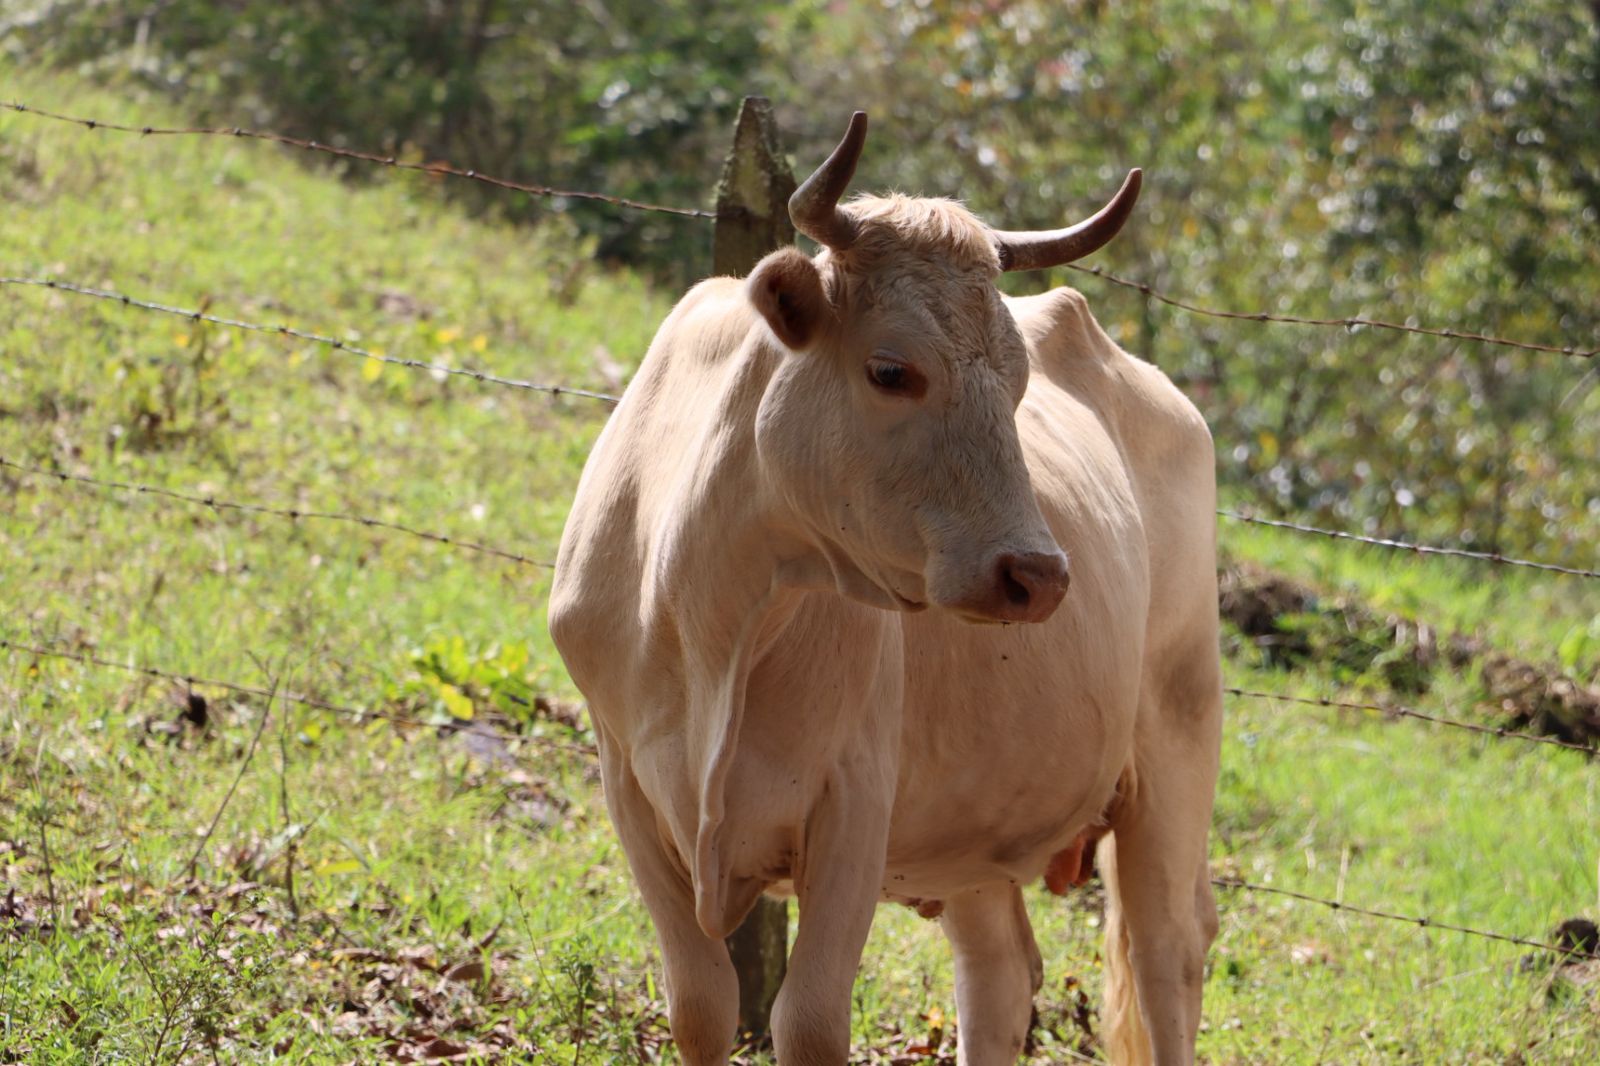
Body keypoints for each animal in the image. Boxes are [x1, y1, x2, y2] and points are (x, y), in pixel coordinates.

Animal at [549, 112, 1222, 1066]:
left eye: (1018, 384)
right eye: (891, 369)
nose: (1040, 574)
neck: (715, 613)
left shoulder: (854, 804)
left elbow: (809, 1022)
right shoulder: (629, 784)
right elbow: (702, 1005)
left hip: (1176, 742)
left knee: (1168, 952)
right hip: (976, 829)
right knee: (1000, 972)